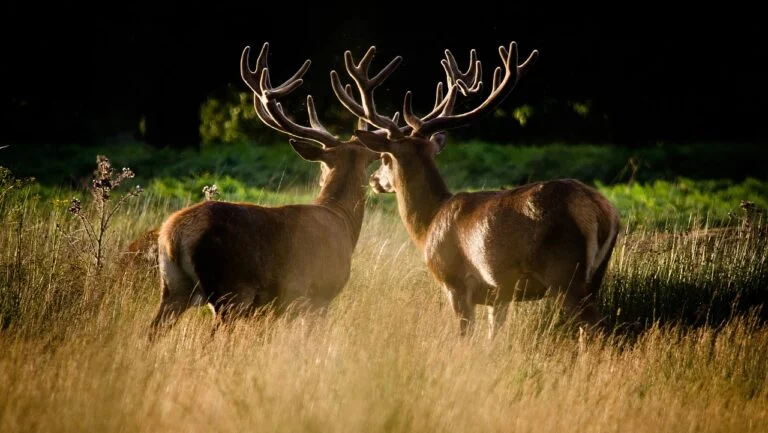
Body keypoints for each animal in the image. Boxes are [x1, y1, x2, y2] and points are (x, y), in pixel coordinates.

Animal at [148, 42, 398, 339]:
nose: (377, 182)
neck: (342, 219)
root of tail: (174, 235)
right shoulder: (319, 295)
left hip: (172, 287)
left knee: (152, 331)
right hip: (232, 289)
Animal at [334, 41, 621, 339]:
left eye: (385, 158)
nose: (375, 180)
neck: (429, 225)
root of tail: (600, 211)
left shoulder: (456, 283)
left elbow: (466, 335)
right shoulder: (500, 295)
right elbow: (493, 337)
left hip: (563, 271)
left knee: (597, 326)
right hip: (595, 275)